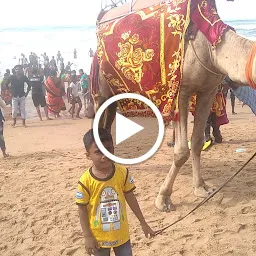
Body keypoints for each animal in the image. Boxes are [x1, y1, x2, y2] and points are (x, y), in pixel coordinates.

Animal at [93, 0, 255, 212]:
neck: (212, 48)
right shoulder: (181, 92)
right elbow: (181, 151)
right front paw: (163, 198)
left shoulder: (208, 91)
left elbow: (196, 142)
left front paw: (201, 188)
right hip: (101, 89)